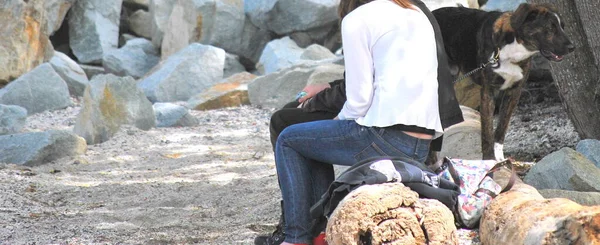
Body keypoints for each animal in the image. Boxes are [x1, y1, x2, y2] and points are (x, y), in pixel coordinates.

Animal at [432, 4, 576, 161]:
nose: (572, 47)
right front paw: (489, 159)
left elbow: (501, 128)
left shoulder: (514, 92)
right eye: (550, 28)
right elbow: (487, 130)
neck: (512, 50)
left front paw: (500, 158)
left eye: (563, 27)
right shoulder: (488, 91)